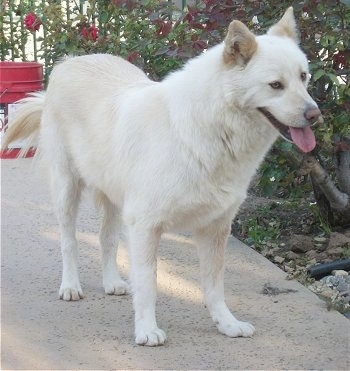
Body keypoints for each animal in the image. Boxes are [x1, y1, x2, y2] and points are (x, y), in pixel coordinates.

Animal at [2, 7, 322, 348]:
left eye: (303, 77)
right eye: (275, 85)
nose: (316, 115)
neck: (207, 127)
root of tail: (69, 62)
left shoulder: (215, 229)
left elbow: (215, 286)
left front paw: (227, 324)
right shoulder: (145, 226)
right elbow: (148, 284)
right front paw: (146, 330)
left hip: (115, 201)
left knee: (106, 239)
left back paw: (112, 281)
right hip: (67, 189)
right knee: (68, 241)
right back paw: (71, 286)